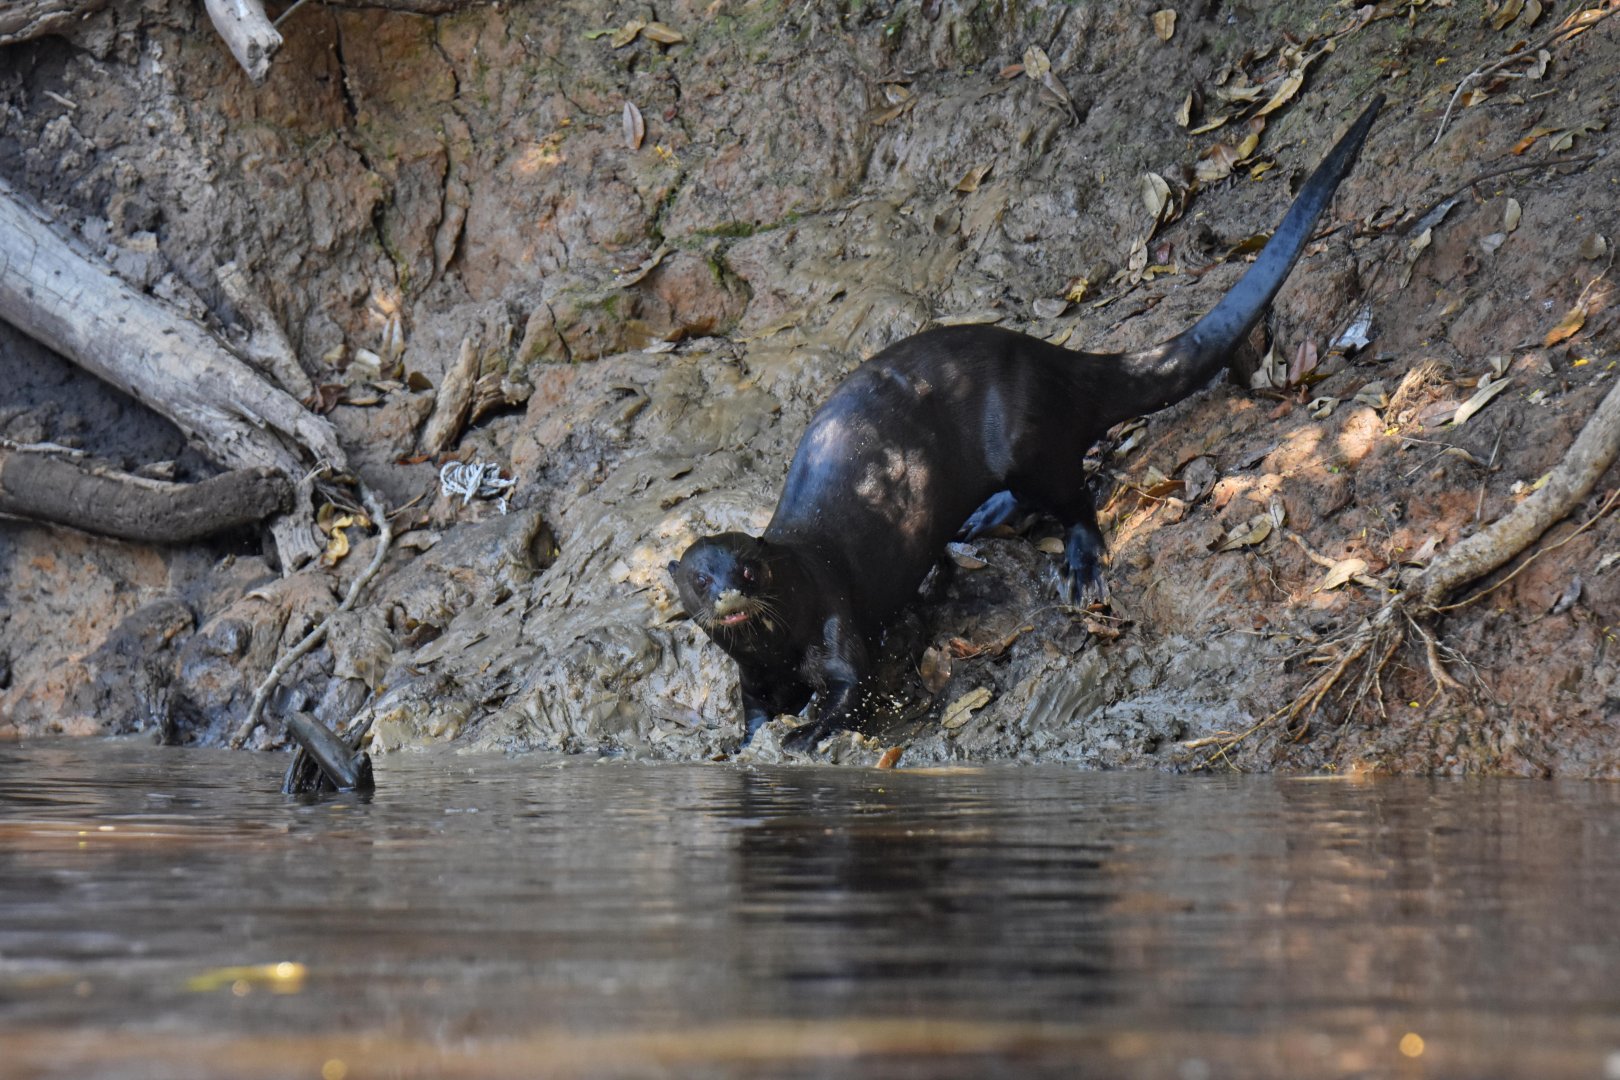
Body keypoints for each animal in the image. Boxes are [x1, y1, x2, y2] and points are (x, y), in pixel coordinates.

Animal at [671, 96, 1384, 752]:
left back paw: (1081, 563)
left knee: (1076, 493)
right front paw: (749, 741)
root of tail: (1048, 358)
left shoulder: (832, 613)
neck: (781, 636)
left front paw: (808, 733)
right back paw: (980, 521)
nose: (728, 593)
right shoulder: (755, 678)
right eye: (703, 580)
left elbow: (853, 686)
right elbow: (755, 711)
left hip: (1027, 437)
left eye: (749, 571)